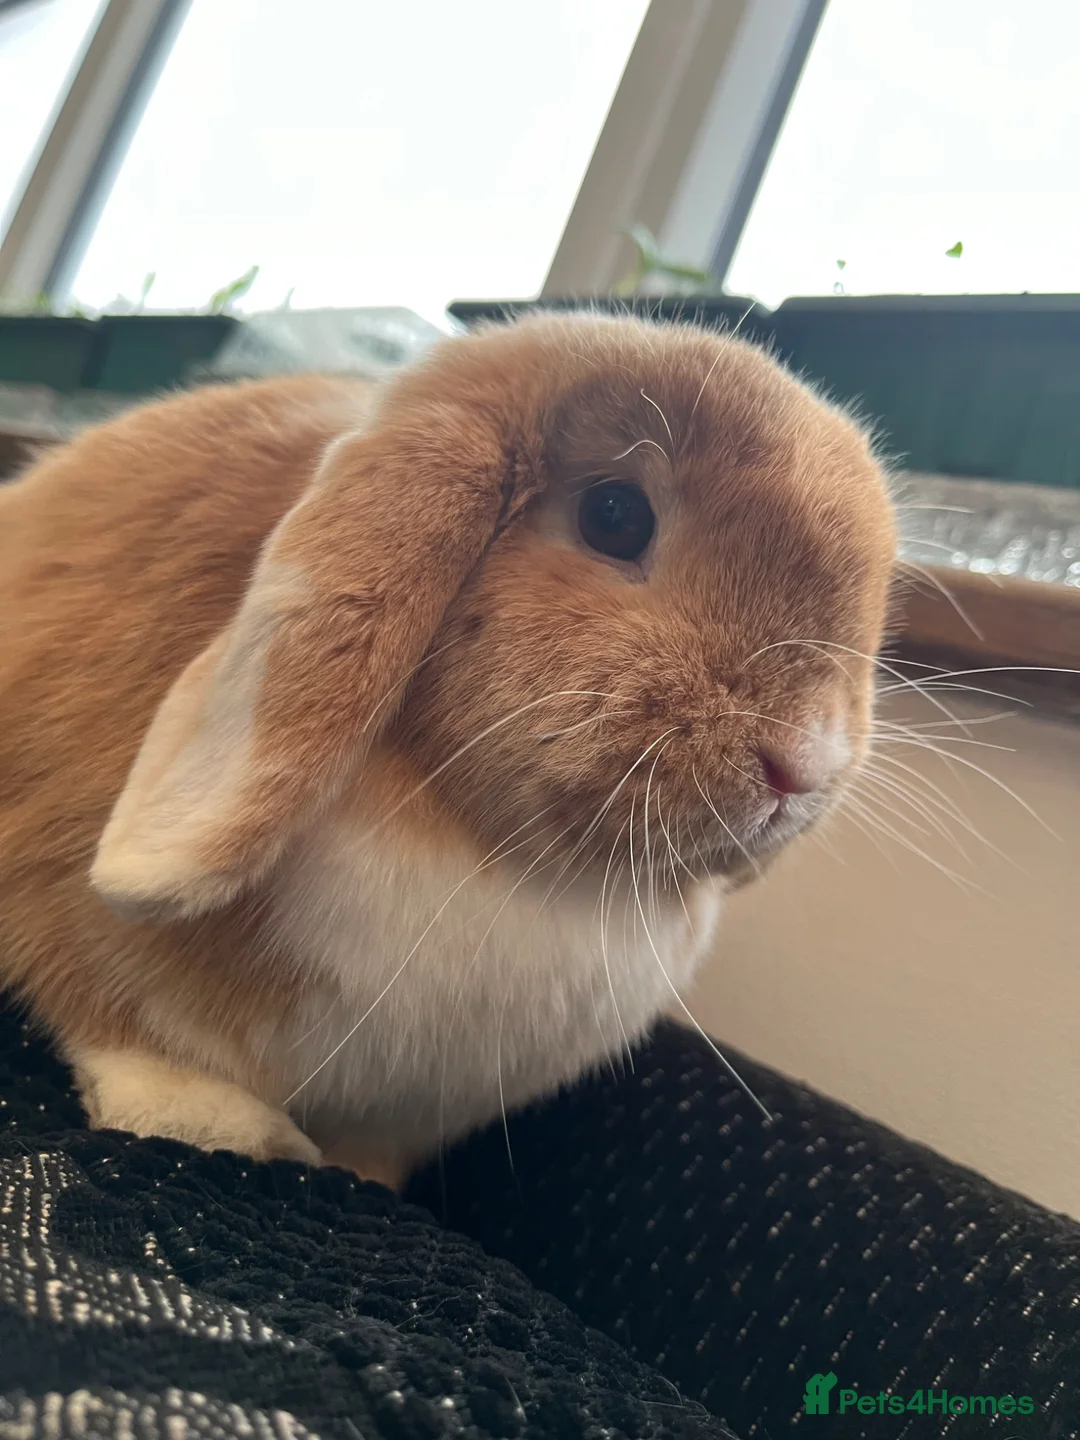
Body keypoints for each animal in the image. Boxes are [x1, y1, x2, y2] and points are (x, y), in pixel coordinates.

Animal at [0, 313, 896, 1187]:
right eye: (614, 516)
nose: (801, 765)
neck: (510, 863)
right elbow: (121, 1028)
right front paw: (225, 1125)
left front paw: (357, 1179)